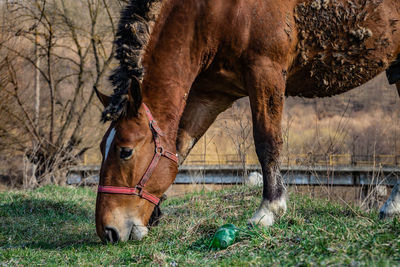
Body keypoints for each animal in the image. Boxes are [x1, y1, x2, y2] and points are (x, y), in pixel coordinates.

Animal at [94, 0, 400, 243]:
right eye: (101, 148)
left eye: (125, 151)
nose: (107, 231)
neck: (212, 12)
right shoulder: (212, 95)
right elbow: (179, 147)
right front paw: (153, 214)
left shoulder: (266, 72)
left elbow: (267, 142)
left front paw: (269, 209)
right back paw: (393, 206)